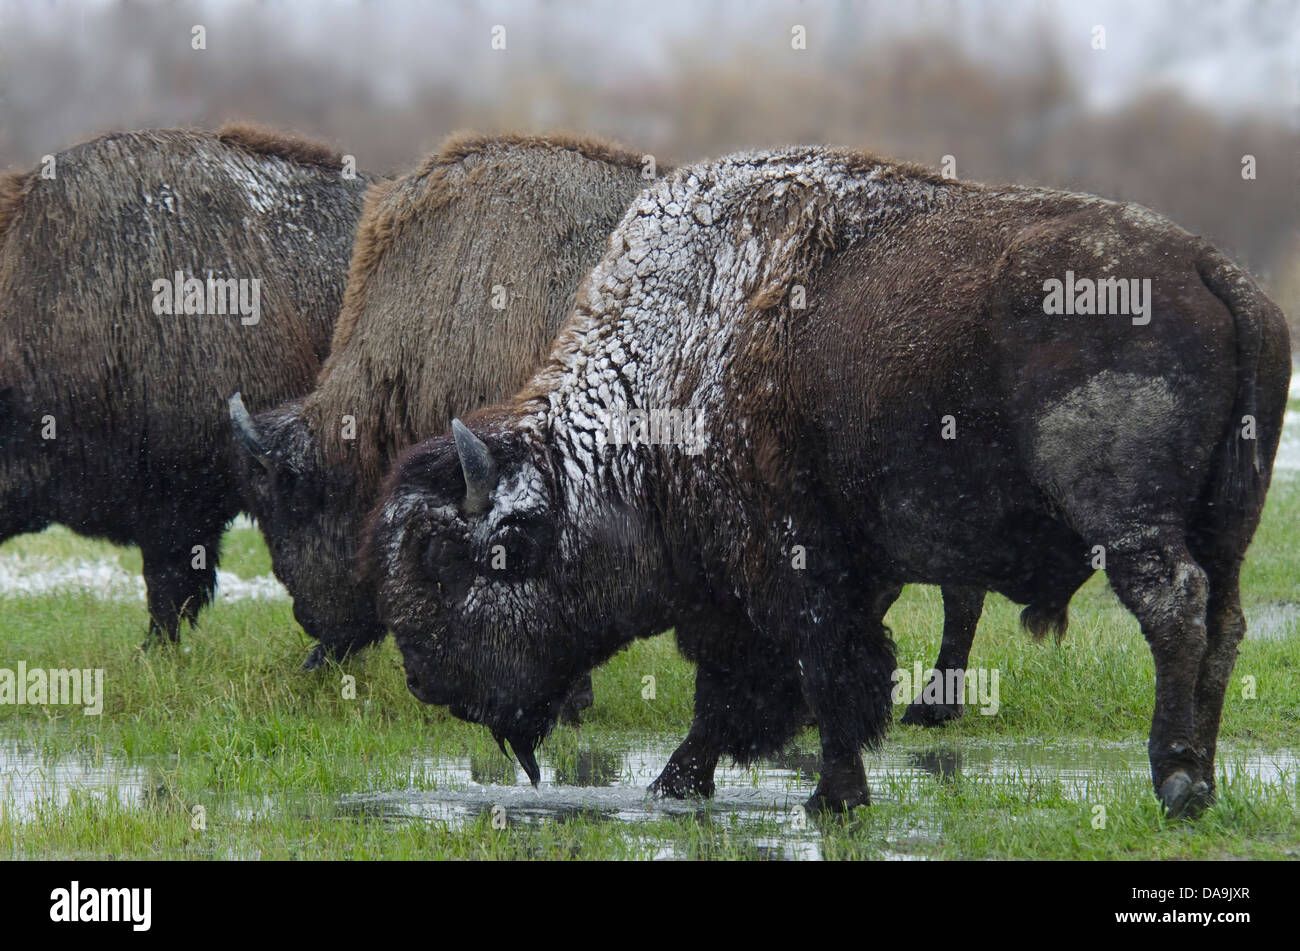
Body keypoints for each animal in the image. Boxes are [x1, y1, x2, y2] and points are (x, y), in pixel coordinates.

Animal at [366, 142, 1289, 815]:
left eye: (459, 563)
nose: (425, 677)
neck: (683, 358)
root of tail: (1215, 272)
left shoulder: (785, 567)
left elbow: (814, 670)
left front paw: (831, 796)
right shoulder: (823, 575)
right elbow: (755, 691)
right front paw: (679, 782)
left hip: (1129, 522)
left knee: (1176, 606)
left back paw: (1176, 779)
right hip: (1228, 524)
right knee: (1226, 619)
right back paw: (1202, 778)